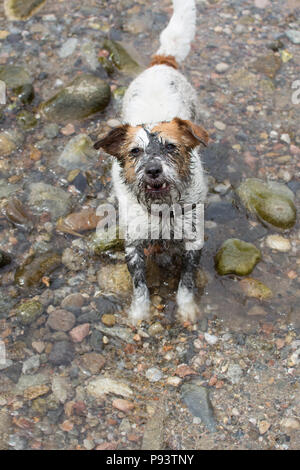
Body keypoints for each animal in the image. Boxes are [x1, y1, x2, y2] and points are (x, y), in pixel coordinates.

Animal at [94, 0, 209, 324]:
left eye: (171, 147)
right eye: (135, 151)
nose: (153, 170)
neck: (162, 211)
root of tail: (162, 62)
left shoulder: (194, 242)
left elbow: (186, 281)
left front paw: (186, 309)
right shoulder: (133, 245)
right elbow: (139, 285)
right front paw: (139, 313)